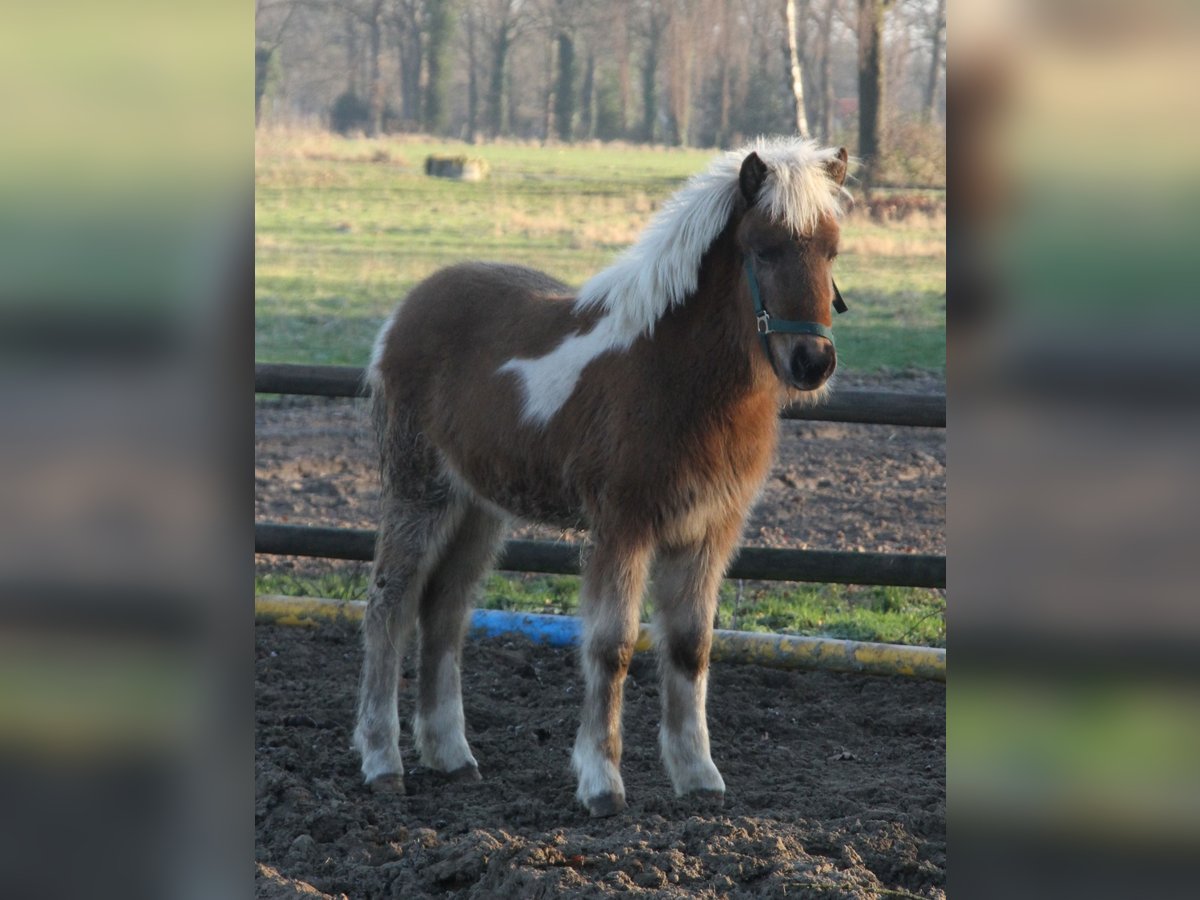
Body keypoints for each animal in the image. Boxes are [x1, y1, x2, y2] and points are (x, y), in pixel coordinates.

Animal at [355, 137, 850, 817]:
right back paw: (383, 763)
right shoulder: (623, 525)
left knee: (445, 611)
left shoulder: (709, 532)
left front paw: (699, 776)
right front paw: (601, 783)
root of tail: (403, 312)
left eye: (832, 250)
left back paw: (453, 758)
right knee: (390, 605)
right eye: (763, 248)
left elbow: (691, 646)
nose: (812, 363)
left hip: (478, 508)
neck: (675, 375)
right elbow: (612, 647)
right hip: (419, 492)